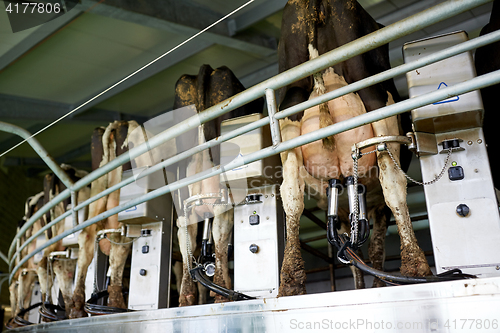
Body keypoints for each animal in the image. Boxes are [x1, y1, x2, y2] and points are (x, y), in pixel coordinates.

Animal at [173, 63, 264, 304]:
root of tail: (211, 68)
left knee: (186, 233)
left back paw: (186, 295)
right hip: (224, 192)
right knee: (220, 234)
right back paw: (223, 291)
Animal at [276, 0, 432, 294]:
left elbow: (351, 250)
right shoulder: (377, 208)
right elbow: (376, 245)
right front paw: (376, 284)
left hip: (289, 113)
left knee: (290, 193)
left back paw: (290, 282)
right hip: (376, 97)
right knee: (392, 183)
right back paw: (417, 268)